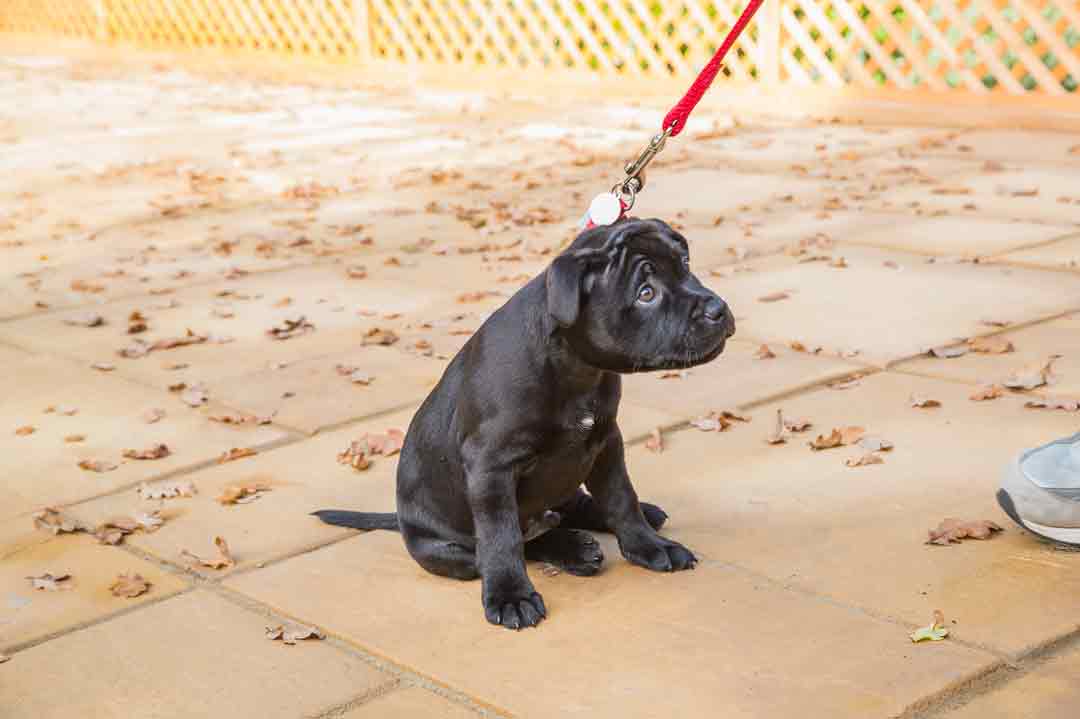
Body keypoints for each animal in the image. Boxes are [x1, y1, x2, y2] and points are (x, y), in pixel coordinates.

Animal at [315, 216, 734, 626]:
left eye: (685, 265)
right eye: (646, 293)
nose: (718, 309)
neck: (575, 368)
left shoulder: (604, 442)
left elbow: (621, 498)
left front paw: (648, 545)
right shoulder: (491, 467)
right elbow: (501, 537)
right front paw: (510, 596)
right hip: (441, 547)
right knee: (501, 547)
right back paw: (571, 548)